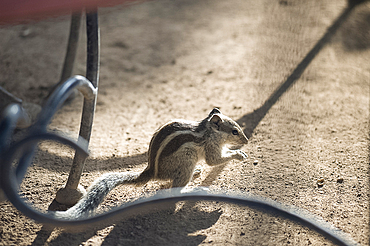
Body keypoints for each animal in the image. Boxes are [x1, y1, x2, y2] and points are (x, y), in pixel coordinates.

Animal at [52, 107, 249, 219]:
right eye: (234, 131)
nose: (246, 141)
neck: (208, 131)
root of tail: (153, 172)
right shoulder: (210, 148)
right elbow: (214, 160)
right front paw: (238, 154)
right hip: (187, 160)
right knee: (175, 189)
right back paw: (194, 188)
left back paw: (197, 174)